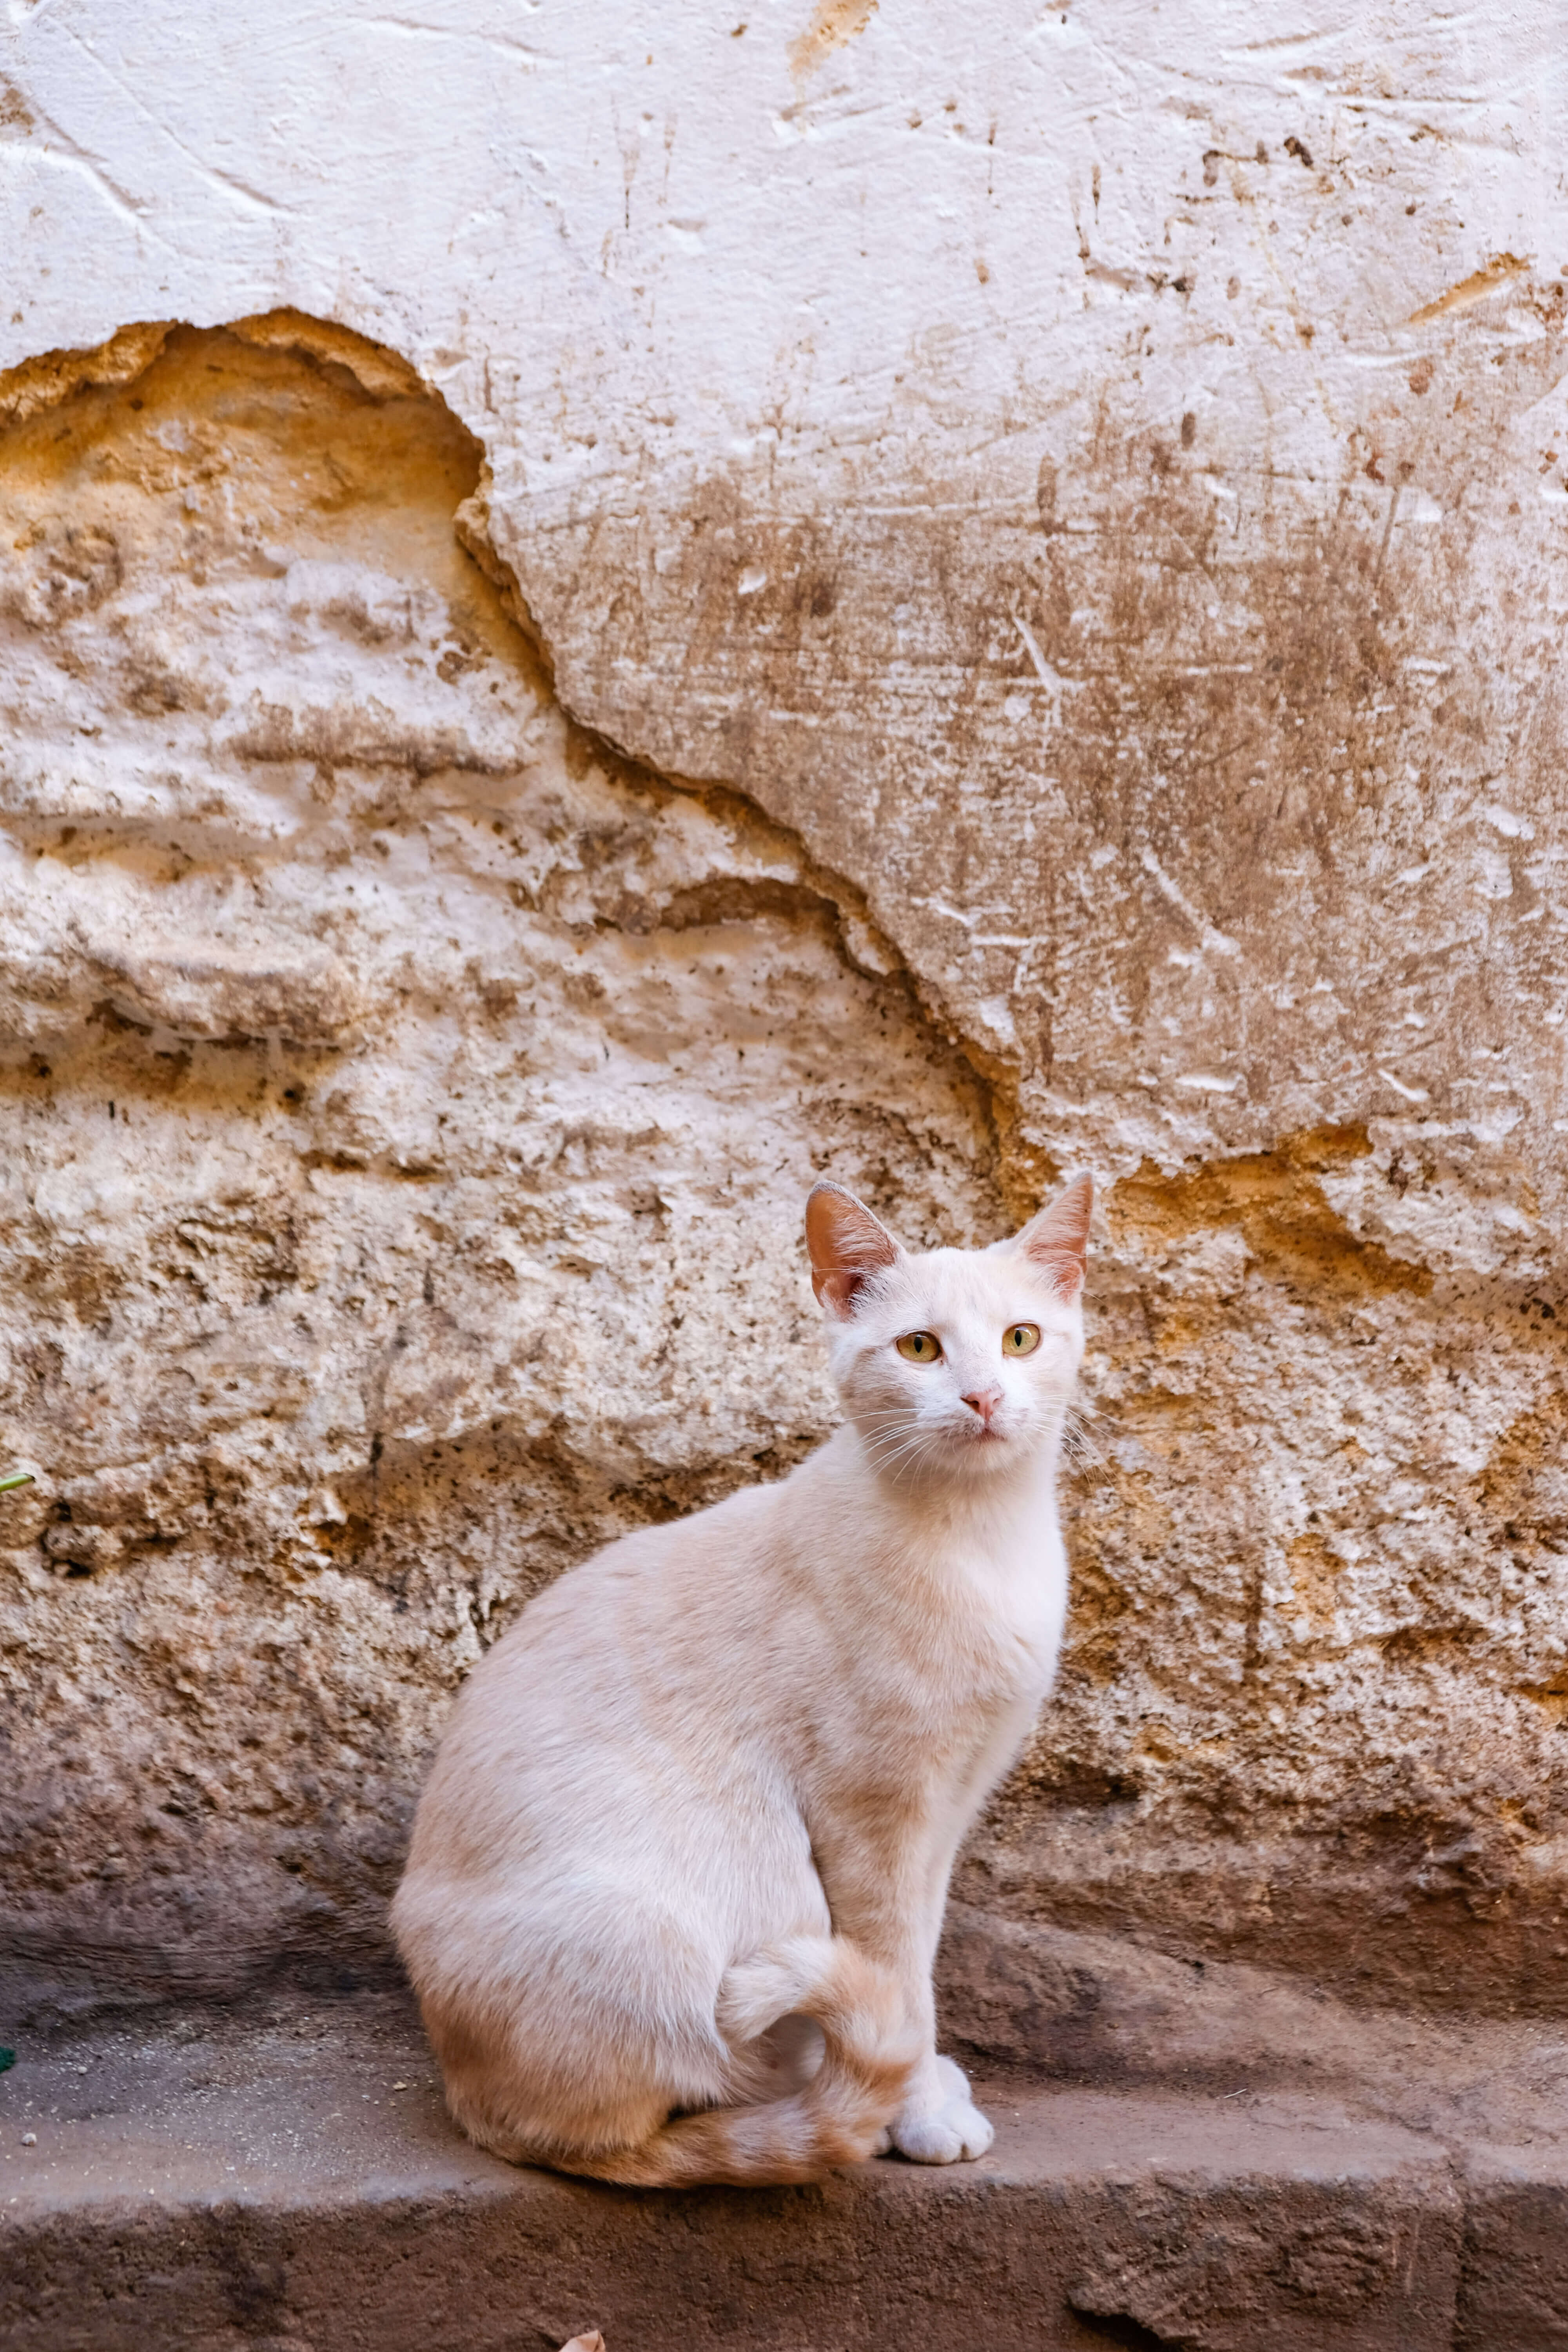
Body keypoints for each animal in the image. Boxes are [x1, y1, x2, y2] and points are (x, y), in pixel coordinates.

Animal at [392, 1176, 1091, 2183]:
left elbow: (919, 1962)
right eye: (920, 1347)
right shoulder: (871, 1818)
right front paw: (919, 2112)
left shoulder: (947, 1810)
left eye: (1021, 1339)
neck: (981, 1538)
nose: (984, 1396)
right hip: (754, 1874)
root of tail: (478, 2104)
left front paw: (926, 2086)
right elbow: (896, 1979)